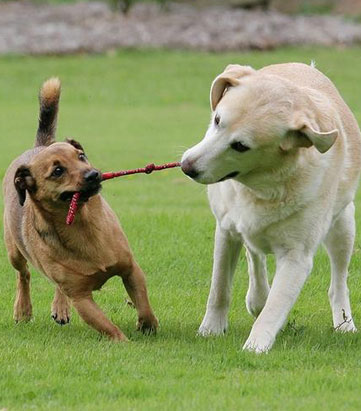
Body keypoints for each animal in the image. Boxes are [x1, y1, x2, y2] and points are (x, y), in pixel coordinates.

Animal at [2, 78, 158, 342]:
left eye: (81, 156)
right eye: (57, 171)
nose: (93, 174)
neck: (82, 225)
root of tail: (40, 146)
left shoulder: (131, 270)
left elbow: (144, 303)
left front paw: (148, 325)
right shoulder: (81, 298)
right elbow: (107, 326)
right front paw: (124, 342)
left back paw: (59, 307)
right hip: (14, 249)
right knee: (24, 275)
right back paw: (23, 309)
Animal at [181, 62, 360, 352]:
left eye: (240, 146)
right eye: (217, 120)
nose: (187, 167)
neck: (262, 187)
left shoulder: (297, 257)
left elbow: (275, 308)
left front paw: (255, 346)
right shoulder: (226, 230)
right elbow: (219, 289)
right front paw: (210, 330)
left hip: (343, 226)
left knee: (338, 283)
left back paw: (344, 322)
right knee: (254, 254)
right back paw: (257, 297)